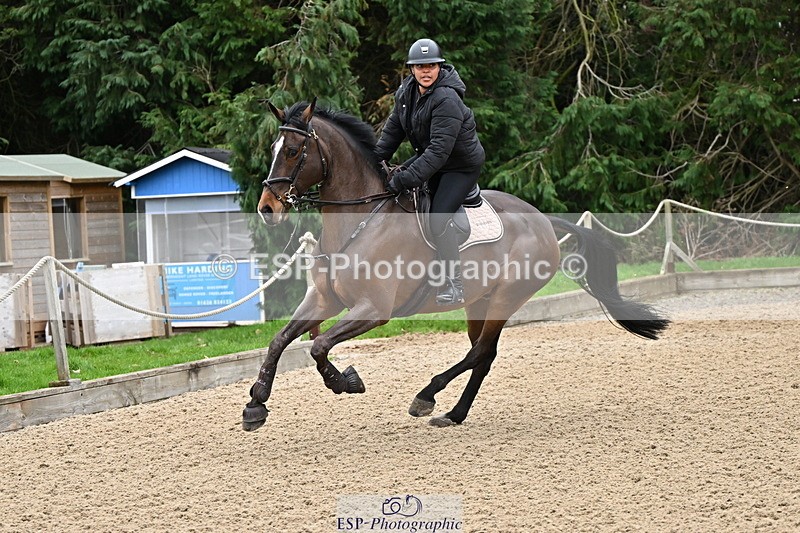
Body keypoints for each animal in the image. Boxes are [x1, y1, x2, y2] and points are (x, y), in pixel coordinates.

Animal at [242, 99, 669, 431]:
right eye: (274, 147)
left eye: (293, 152)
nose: (268, 208)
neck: (361, 219)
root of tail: (544, 221)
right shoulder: (324, 300)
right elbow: (280, 340)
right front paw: (256, 403)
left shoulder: (373, 310)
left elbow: (319, 346)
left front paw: (344, 380)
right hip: (479, 301)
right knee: (482, 354)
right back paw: (453, 413)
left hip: (505, 298)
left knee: (480, 353)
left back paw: (428, 397)